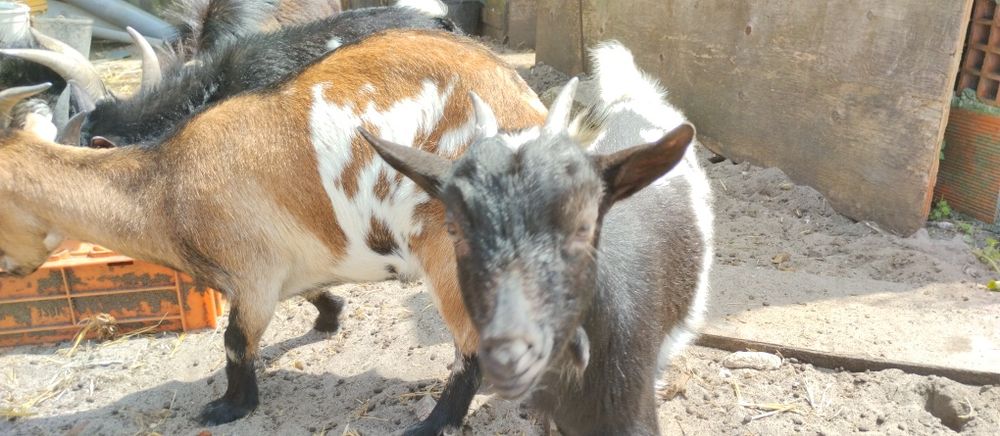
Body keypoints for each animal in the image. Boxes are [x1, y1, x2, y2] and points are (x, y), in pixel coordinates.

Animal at [0, 29, 545, 428]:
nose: (9, 270)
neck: (163, 186)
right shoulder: (289, 265)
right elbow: (310, 294)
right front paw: (329, 317)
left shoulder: (251, 275)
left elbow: (235, 341)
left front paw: (228, 408)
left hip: (446, 251)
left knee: (472, 346)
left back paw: (432, 424)